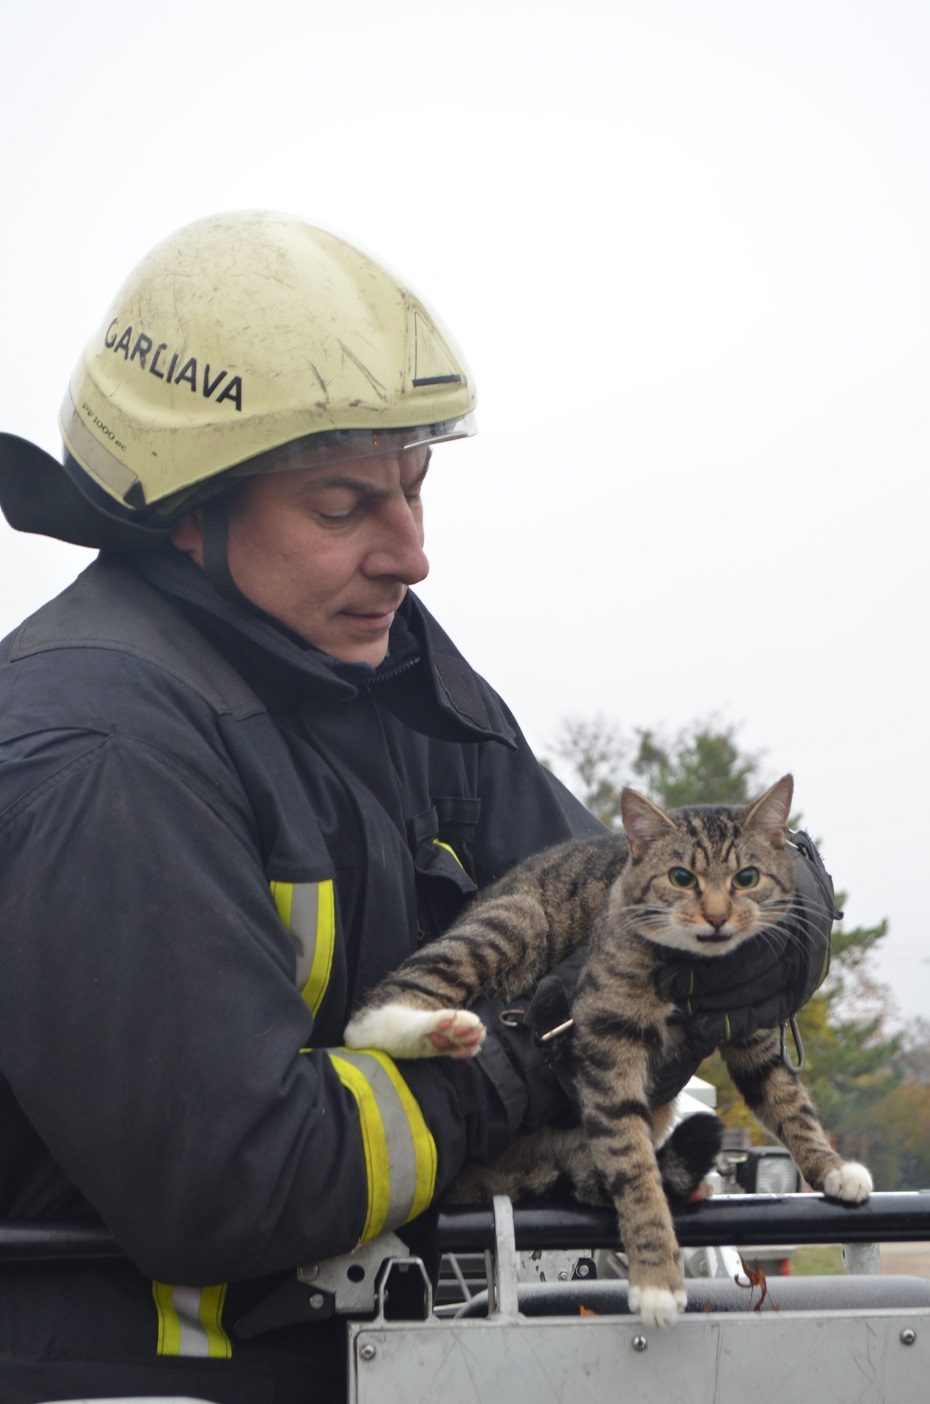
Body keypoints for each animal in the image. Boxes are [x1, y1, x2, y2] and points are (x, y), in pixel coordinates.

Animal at [344, 775, 876, 1330]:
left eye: (747, 877)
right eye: (681, 877)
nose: (717, 916)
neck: (696, 965)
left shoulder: (750, 1026)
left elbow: (787, 1101)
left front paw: (832, 1167)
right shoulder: (605, 1039)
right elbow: (633, 1168)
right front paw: (656, 1280)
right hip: (516, 918)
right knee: (373, 1016)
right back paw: (433, 1029)